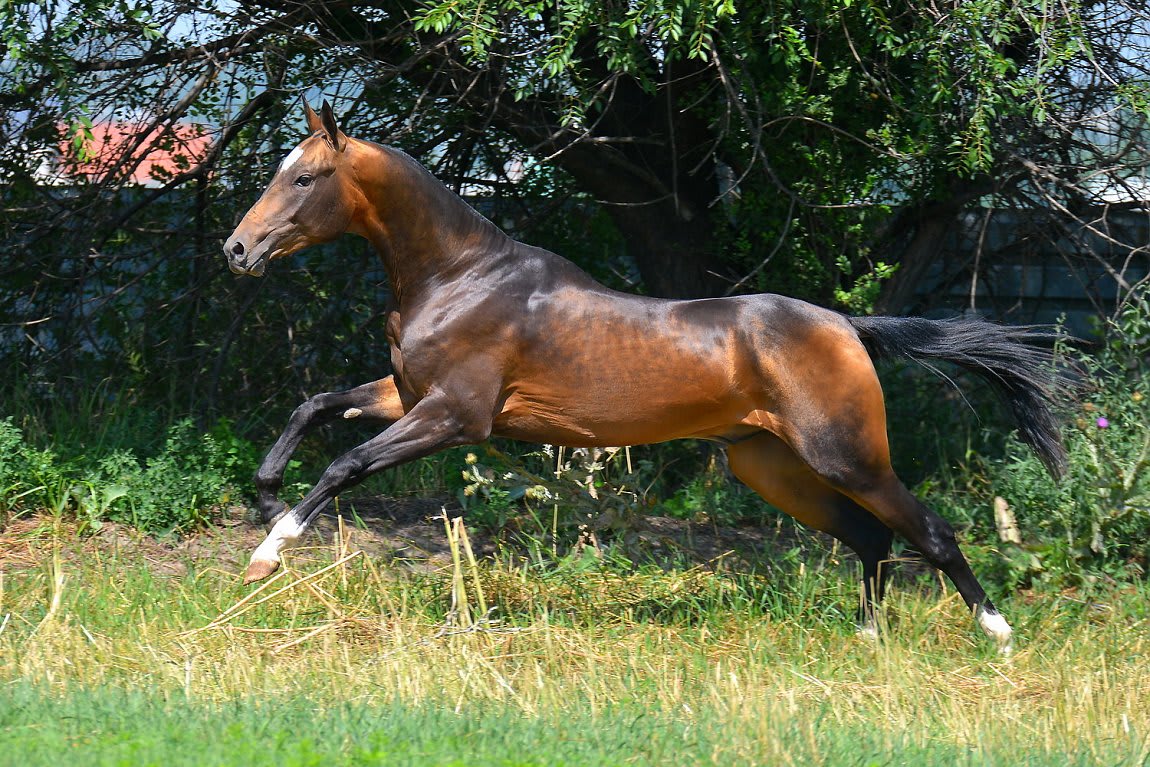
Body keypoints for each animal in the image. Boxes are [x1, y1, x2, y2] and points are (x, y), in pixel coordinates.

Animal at [223, 102, 1067, 654]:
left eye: (305, 178)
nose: (237, 249)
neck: (459, 275)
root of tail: (847, 326)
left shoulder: (456, 415)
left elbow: (347, 460)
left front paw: (272, 548)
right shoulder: (407, 394)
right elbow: (315, 405)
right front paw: (265, 497)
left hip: (847, 455)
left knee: (928, 530)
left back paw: (997, 633)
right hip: (769, 465)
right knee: (869, 535)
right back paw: (865, 639)